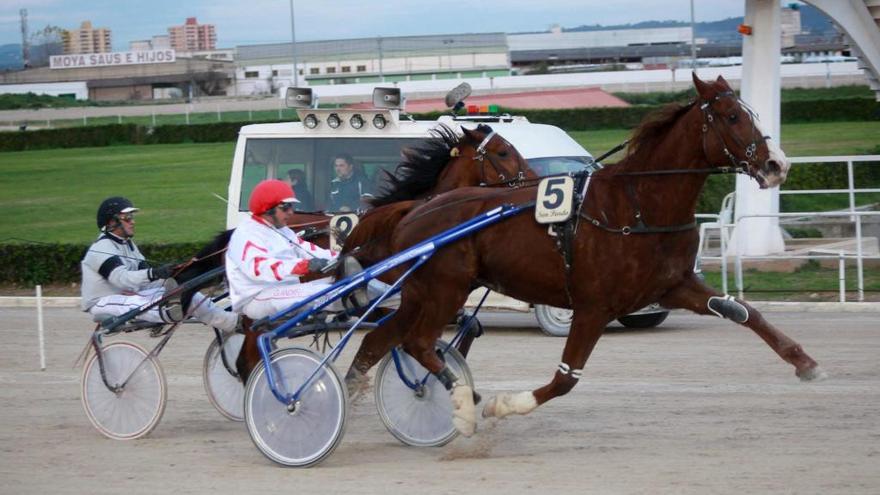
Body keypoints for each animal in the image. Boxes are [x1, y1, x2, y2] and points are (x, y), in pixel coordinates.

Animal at [344, 74, 824, 438]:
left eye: (752, 114)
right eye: (732, 116)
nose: (777, 165)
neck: (638, 206)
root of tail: (416, 209)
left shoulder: (672, 285)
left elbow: (744, 312)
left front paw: (805, 363)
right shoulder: (594, 306)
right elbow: (564, 379)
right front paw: (503, 405)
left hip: (421, 294)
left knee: (383, 339)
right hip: (445, 289)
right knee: (418, 343)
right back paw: (461, 400)